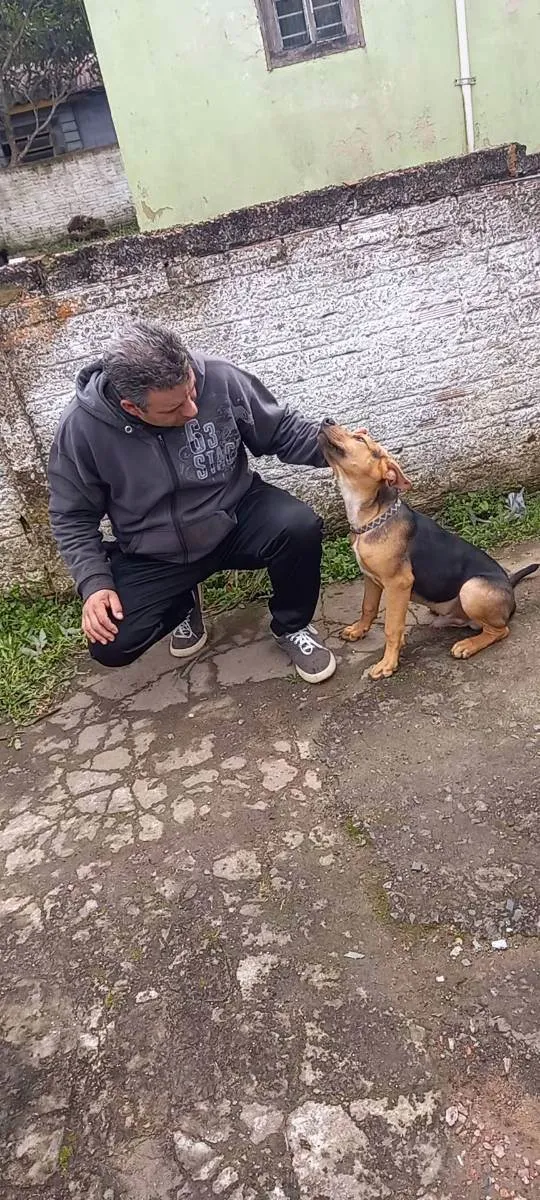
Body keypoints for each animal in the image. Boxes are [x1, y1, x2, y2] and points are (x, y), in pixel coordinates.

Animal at [319, 420, 537, 686]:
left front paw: (387, 664)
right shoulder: (370, 578)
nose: (327, 420)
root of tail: (509, 585)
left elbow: (392, 627)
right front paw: (358, 630)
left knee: (500, 629)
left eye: (360, 439)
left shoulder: (398, 583)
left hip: (472, 588)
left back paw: (467, 645)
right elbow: (368, 607)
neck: (371, 517)